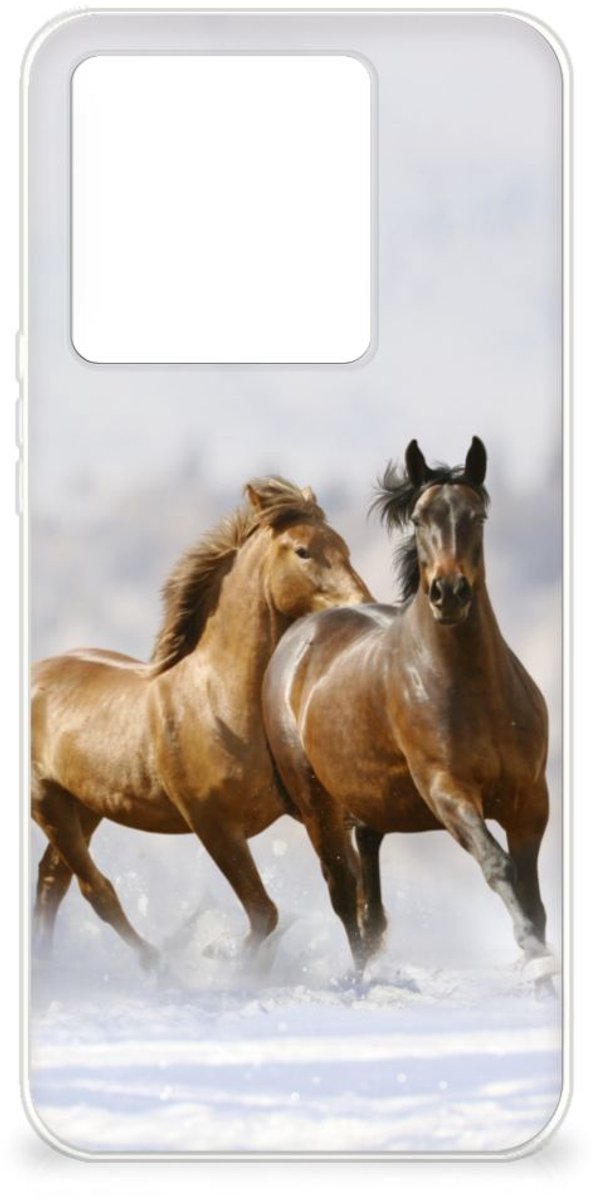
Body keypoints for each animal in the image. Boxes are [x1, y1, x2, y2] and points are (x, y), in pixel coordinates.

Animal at [32, 477, 372, 967]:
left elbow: (347, 892)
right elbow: (264, 913)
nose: (364, 605)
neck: (219, 703)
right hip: (47, 802)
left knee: (51, 881)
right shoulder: (213, 825)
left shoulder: (314, 810)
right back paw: (157, 966)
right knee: (95, 890)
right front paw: (226, 961)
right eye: (303, 551)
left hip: (85, 806)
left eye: (344, 546)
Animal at [262, 439, 551, 974]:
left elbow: (533, 895)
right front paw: (533, 952)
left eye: (477, 515)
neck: (475, 692)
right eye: (418, 518)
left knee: (369, 902)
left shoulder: (530, 800)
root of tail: (297, 637)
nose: (449, 593)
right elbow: (498, 865)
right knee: (344, 896)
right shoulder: (447, 791)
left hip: (369, 805)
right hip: (318, 808)